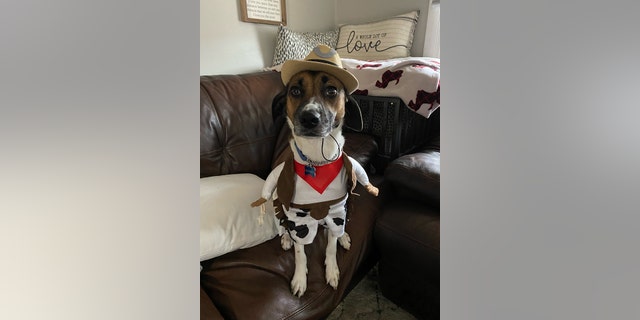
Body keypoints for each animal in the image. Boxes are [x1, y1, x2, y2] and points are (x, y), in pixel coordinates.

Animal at [251, 45, 380, 298]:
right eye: (295, 90)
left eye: (331, 90)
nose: (309, 118)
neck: (317, 160)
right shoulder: (297, 217)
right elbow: (300, 253)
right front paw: (300, 278)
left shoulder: (336, 210)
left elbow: (330, 246)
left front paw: (332, 269)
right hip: (277, 201)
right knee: (281, 224)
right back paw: (285, 238)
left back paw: (344, 237)